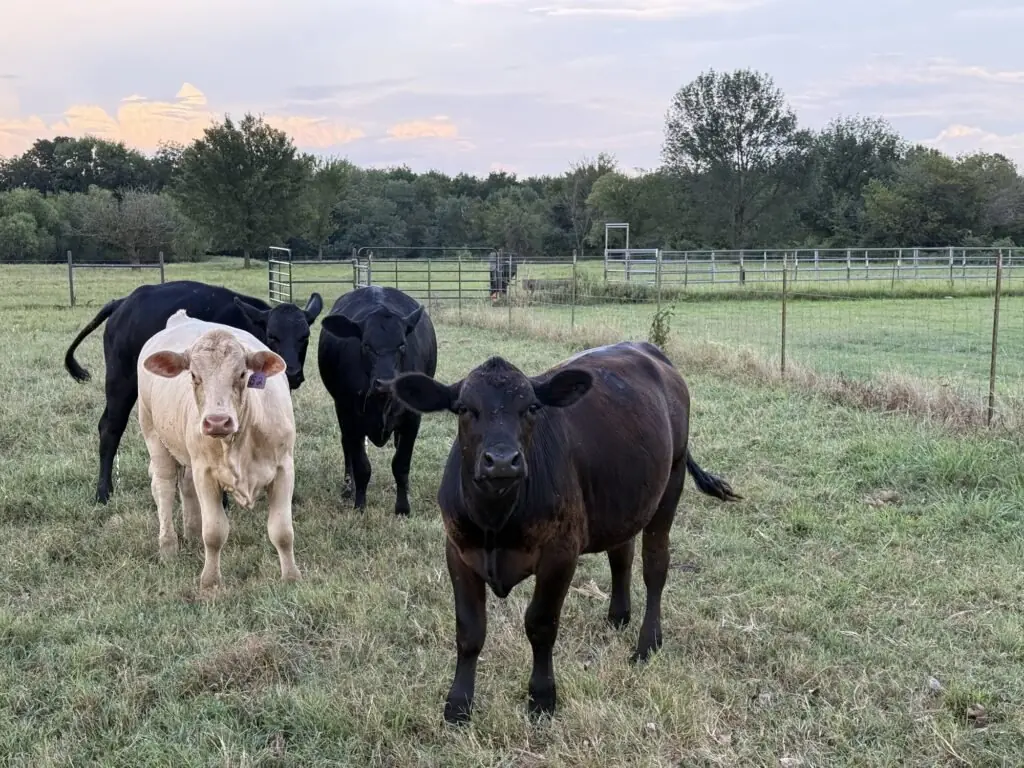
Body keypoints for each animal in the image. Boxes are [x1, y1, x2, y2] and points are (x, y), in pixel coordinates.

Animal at [62, 279, 323, 504]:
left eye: (305, 337)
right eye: (272, 335)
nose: (293, 372)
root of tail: (123, 302)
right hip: (121, 381)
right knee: (110, 427)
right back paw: (103, 492)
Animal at [137, 310, 301, 593]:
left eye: (243, 374)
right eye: (193, 375)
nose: (217, 421)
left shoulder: (284, 468)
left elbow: (282, 531)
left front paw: (291, 577)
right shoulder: (206, 473)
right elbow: (214, 533)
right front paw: (210, 582)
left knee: (186, 486)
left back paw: (191, 533)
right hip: (153, 435)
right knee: (164, 488)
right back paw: (168, 546)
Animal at [317, 286, 438, 517]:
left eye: (402, 345)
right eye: (366, 345)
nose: (385, 383)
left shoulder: (412, 418)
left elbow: (401, 464)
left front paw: (402, 508)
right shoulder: (349, 416)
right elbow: (362, 466)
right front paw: (359, 505)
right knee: (346, 446)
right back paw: (348, 488)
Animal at [389, 341, 742, 723]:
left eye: (531, 407)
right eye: (465, 409)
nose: (502, 461)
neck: (495, 521)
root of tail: (648, 350)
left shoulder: (560, 555)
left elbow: (540, 625)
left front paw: (542, 698)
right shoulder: (457, 551)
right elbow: (469, 630)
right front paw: (457, 705)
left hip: (670, 484)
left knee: (655, 567)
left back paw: (648, 643)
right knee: (622, 554)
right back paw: (618, 616)